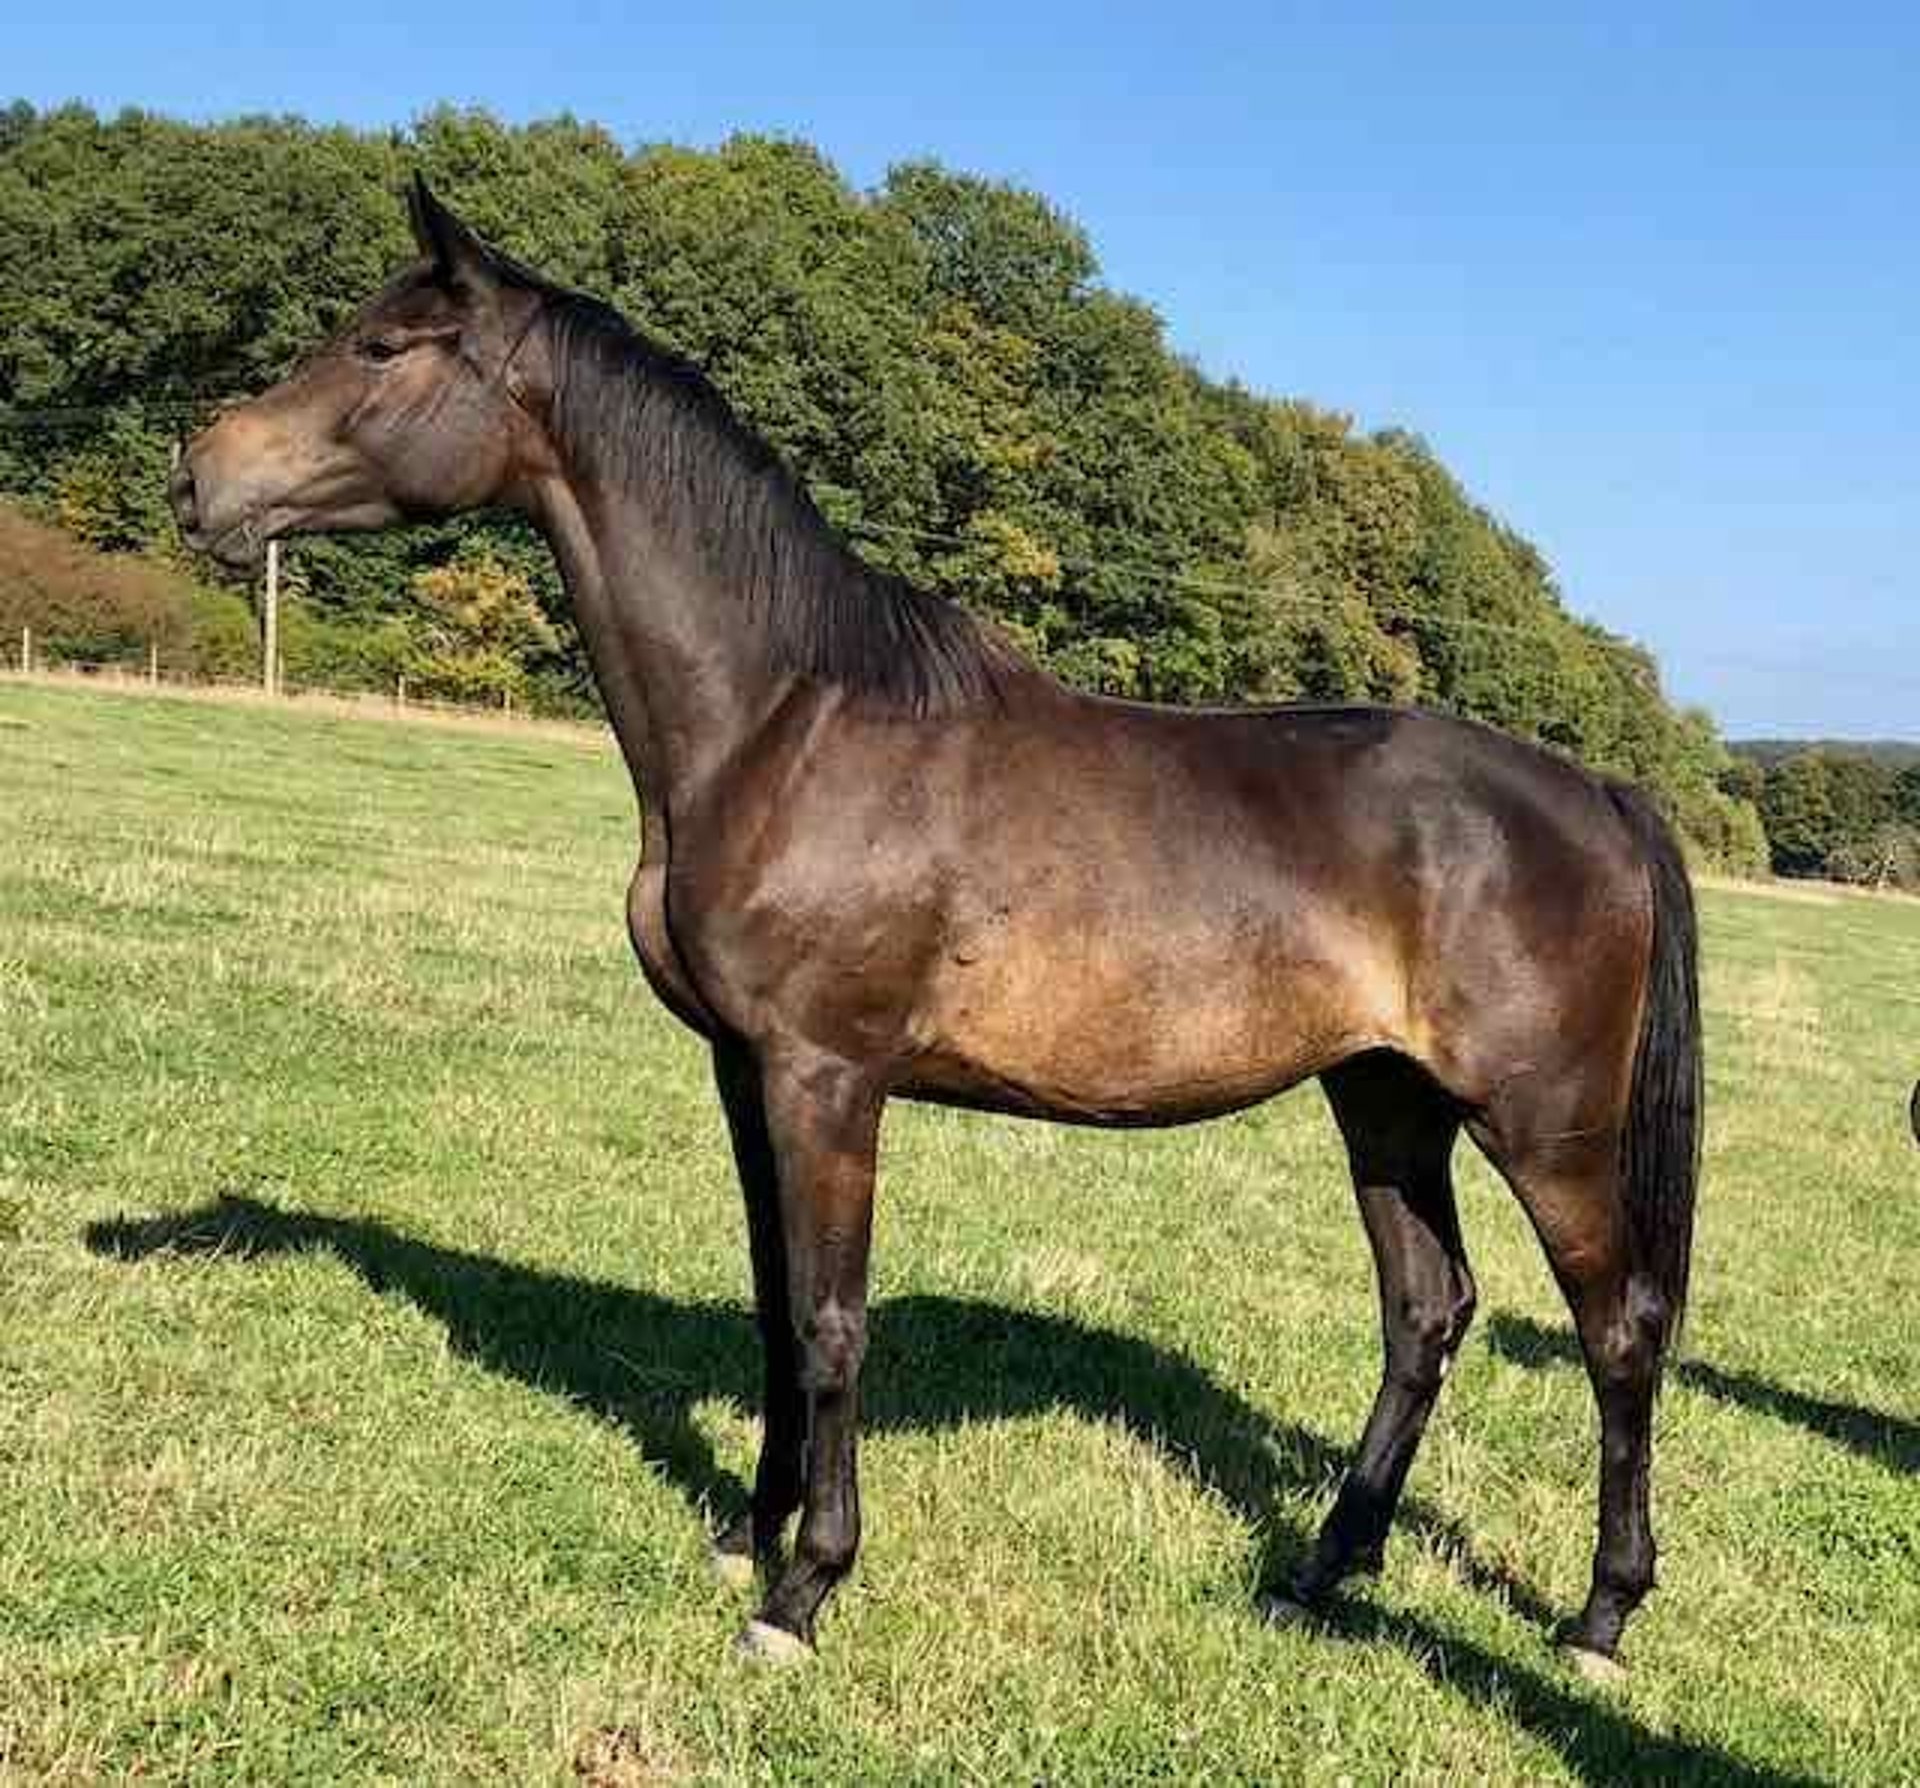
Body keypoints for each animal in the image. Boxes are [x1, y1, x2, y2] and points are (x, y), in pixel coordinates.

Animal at [172, 181, 1704, 1674]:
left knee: (1618, 1329)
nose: (198, 477)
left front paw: (802, 1593)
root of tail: (1598, 794)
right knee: (1425, 1313)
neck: (786, 725)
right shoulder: (745, 1071)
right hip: (1385, 1101)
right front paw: (746, 1533)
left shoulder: (828, 1076)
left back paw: (1600, 1620)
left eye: (381, 347)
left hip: (1542, 1125)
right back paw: (1318, 1575)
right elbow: (775, 1304)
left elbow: (831, 1320)